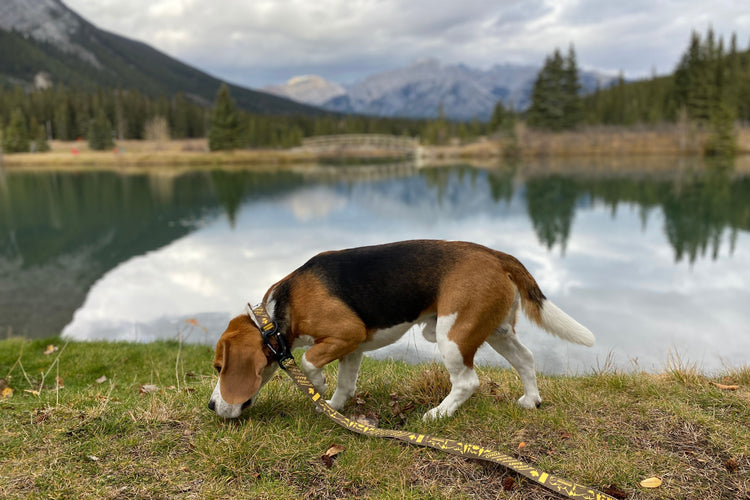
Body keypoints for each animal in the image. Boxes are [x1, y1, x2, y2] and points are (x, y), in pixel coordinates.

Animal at [209, 240, 596, 420]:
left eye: (218, 367)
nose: (212, 406)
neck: (276, 315)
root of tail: (495, 254)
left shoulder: (346, 333)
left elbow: (308, 361)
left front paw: (316, 385)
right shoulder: (352, 347)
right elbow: (345, 384)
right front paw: (333, 406)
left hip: (452, 335)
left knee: (468, 381)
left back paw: (438, 414)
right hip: (494, 330)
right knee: (526, 359)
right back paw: (531, 400)